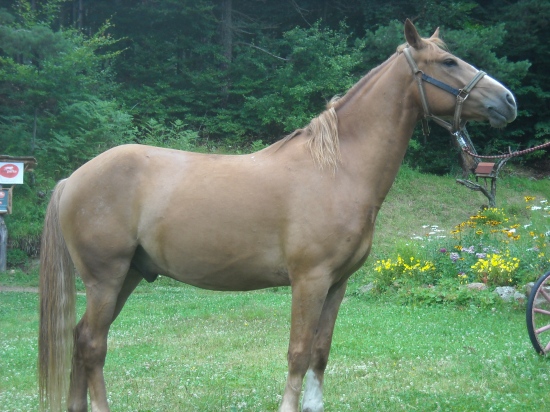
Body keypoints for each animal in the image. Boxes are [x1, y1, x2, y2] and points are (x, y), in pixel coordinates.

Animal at [38, 19, 516, 412]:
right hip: (107, 278)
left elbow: (321, 352)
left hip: (129, 276)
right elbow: (299, 352)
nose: (508, 101)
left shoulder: (337, 284)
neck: (337, 170)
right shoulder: (310, 280)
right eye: (448, 61)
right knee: (93, 344)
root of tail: (73, 178)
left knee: (80, 340)